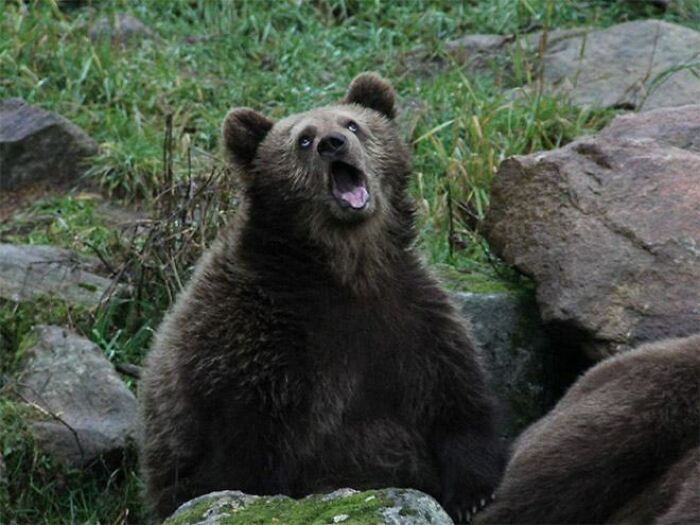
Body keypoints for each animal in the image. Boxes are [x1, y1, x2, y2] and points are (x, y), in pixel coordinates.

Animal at [138, 72, 505, 523]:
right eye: (303, 139)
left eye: (352, 124)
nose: (333, 143)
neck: (344, 271)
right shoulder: (257, 347)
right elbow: (245, 458)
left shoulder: (411, 319)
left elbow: (455, 400)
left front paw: (474, 495)